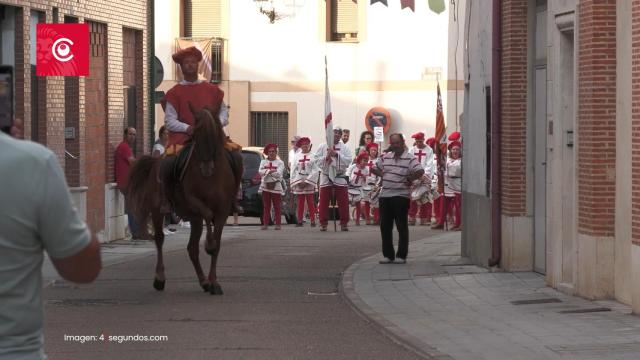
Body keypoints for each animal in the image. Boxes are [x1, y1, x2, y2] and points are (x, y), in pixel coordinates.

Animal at [126, 102, 241, 294]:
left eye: (213, 134)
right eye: (194, 134)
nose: (206, 169)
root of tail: (156, 161)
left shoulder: (223, 210)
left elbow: (216, 245)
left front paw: (215, 282)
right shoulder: (194, 201)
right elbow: (208, 215)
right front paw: (208, 243)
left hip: (194, 219)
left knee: (192, 248)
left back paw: (204, 282)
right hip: (157, 210)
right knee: (159, 239)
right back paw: (160, 278)